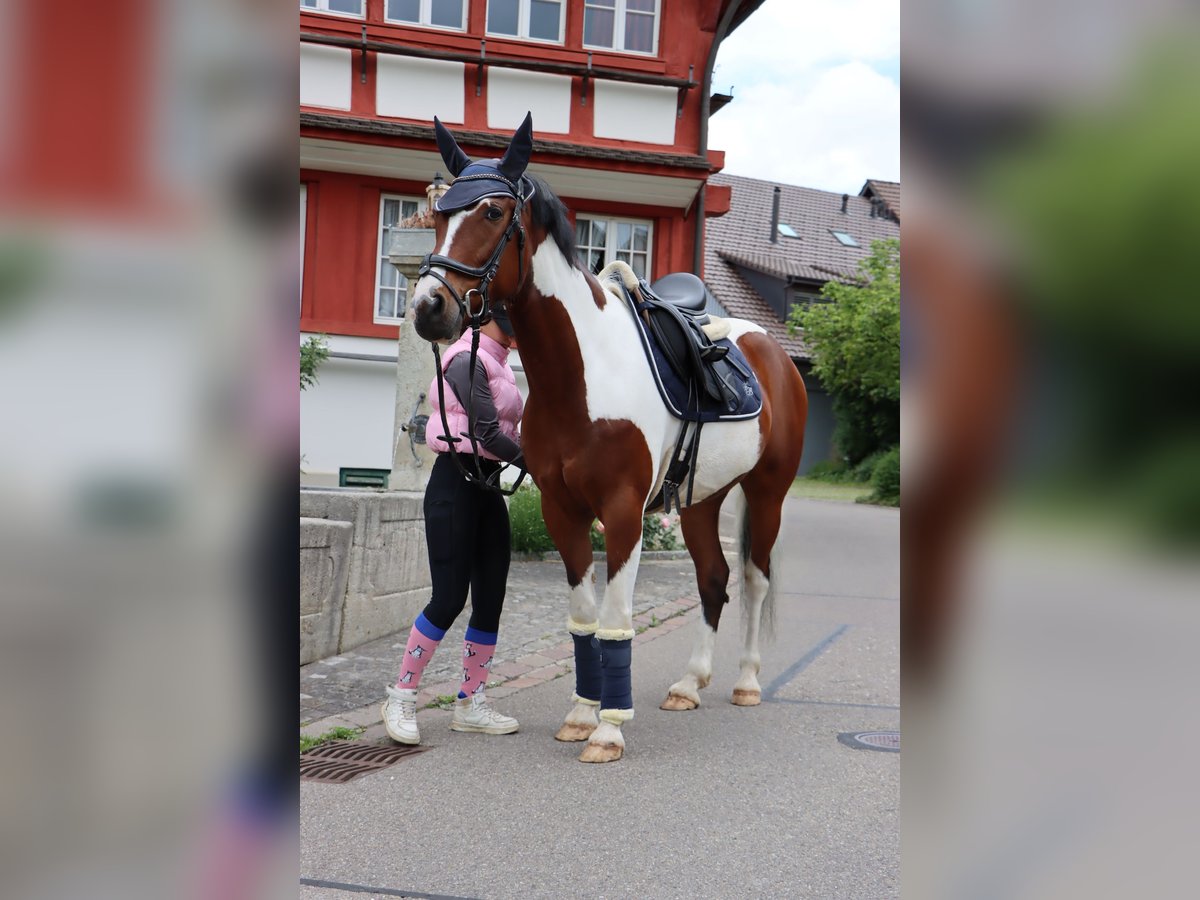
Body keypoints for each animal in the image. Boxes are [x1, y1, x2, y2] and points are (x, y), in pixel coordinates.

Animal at [410, 111, 806, 763]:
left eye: (492, 212)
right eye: (439, 216)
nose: (427, 307)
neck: (583, 375)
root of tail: (770, 349)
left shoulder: (622, 513)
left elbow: (617, 619)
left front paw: (608, 729)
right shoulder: (563, 511)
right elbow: (583, 617)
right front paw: (580, 713)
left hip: (767, 493)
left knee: (755, 579)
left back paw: (746, 680)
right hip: (701, 501)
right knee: (714, 579)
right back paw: (690, 683)